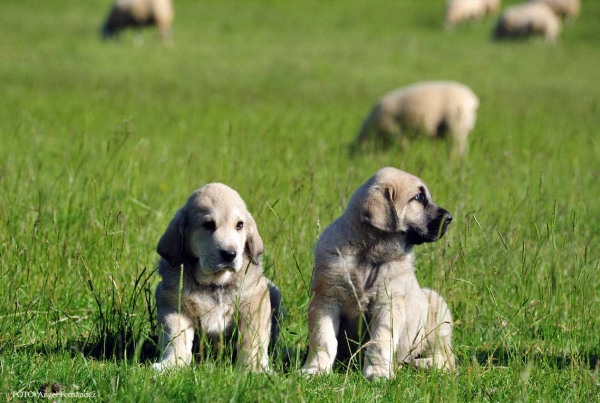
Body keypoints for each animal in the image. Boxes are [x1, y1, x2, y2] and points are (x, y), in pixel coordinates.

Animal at [151, 183, 280, 372]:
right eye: (208, 224)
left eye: (240, 225)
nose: (230, 254)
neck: (215, 283)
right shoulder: (174, 306)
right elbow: (176, 339)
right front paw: (171, 364)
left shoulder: (254, 304)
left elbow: (251, 341)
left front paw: (253, 369)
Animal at [302, 168, 458, 382]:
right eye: (419, 198)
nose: (449, 217)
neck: (368, 254)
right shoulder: (326, 299)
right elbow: (323, 338)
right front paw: (315, 369)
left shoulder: (388, 303)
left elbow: (380, 341)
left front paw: (378, 372)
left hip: (437, 315)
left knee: (447, 358)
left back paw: (422, 364)